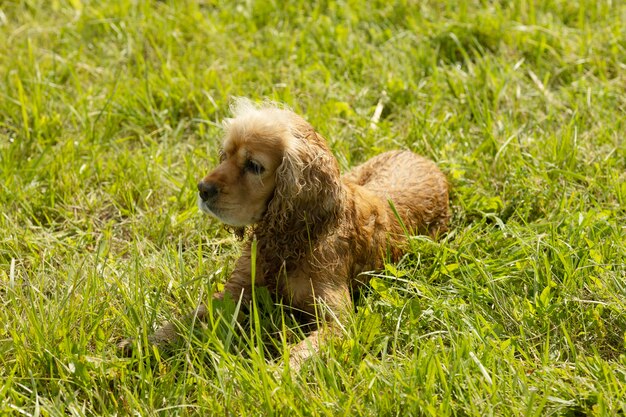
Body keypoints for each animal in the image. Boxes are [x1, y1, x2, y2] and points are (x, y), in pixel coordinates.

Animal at [118, 99, 448, 368]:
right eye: (225, 156)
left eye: (254, 166)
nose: (202, 188)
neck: (290, 240)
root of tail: (417, 155)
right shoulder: (235, 292)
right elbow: (188, 317)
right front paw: (143, 342)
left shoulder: (339, 320)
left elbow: (303, 351)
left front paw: (278, 377)